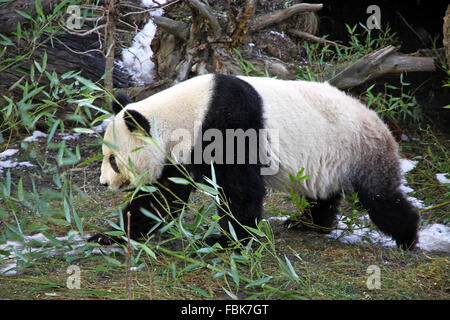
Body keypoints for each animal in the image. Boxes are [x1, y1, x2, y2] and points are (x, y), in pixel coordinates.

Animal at [89, 74, 420, 250]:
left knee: (381, 199)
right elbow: (162, 198)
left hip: (362, 151)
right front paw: (109, 234)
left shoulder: (229, 124)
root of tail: (381, 123)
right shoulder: (180, 155)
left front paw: (228, 241)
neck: (187, 112)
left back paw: (407, 236)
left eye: (113, 160)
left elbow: (241, 190)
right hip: (329, 159)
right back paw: (306, 224)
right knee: (322, 194)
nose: (104, 183)